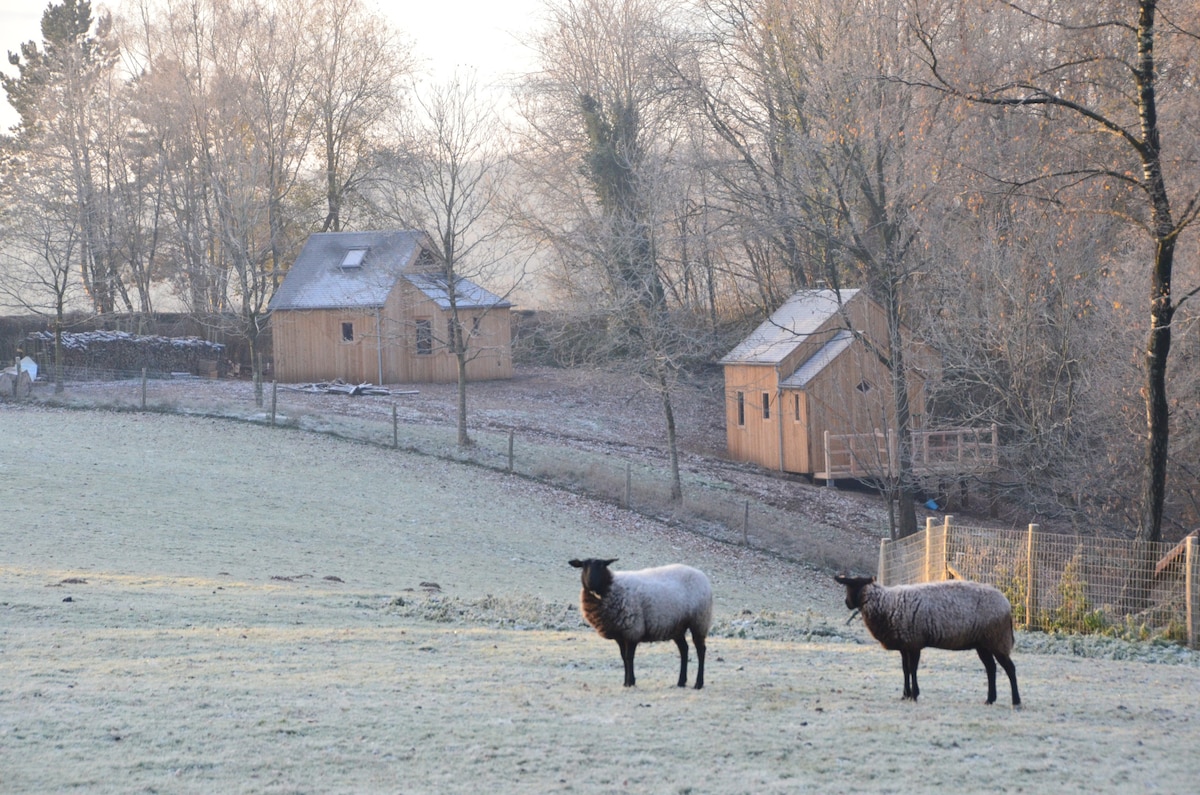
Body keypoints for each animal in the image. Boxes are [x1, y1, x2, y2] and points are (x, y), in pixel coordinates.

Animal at [568, 559, 710, 691]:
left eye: (602, 565)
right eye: (583, 566)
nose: (591, 583)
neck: (611, 586)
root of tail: (701, 574)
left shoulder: (633, 630)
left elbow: (629, 657)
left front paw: (630, 682)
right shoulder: (620, 635)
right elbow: (623, 657)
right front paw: (626, 682)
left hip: (699, 621)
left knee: (701, 650)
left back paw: (698, 684)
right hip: (678, 626)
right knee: (684, 649)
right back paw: (681, 682)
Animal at [835, 574, 1022, 710]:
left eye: (852, 584)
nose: (846, 603)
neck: (886, 603)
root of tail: (1007, 605)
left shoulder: (914, 642)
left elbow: (913, 669)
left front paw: (914, 694)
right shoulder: (905, 644)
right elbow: (905, 670)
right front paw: (905, 694)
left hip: (997, 639)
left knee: (1010, 668)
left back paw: (1016, 701)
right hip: (983, 644)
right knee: (991, 669)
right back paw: (990, 699)